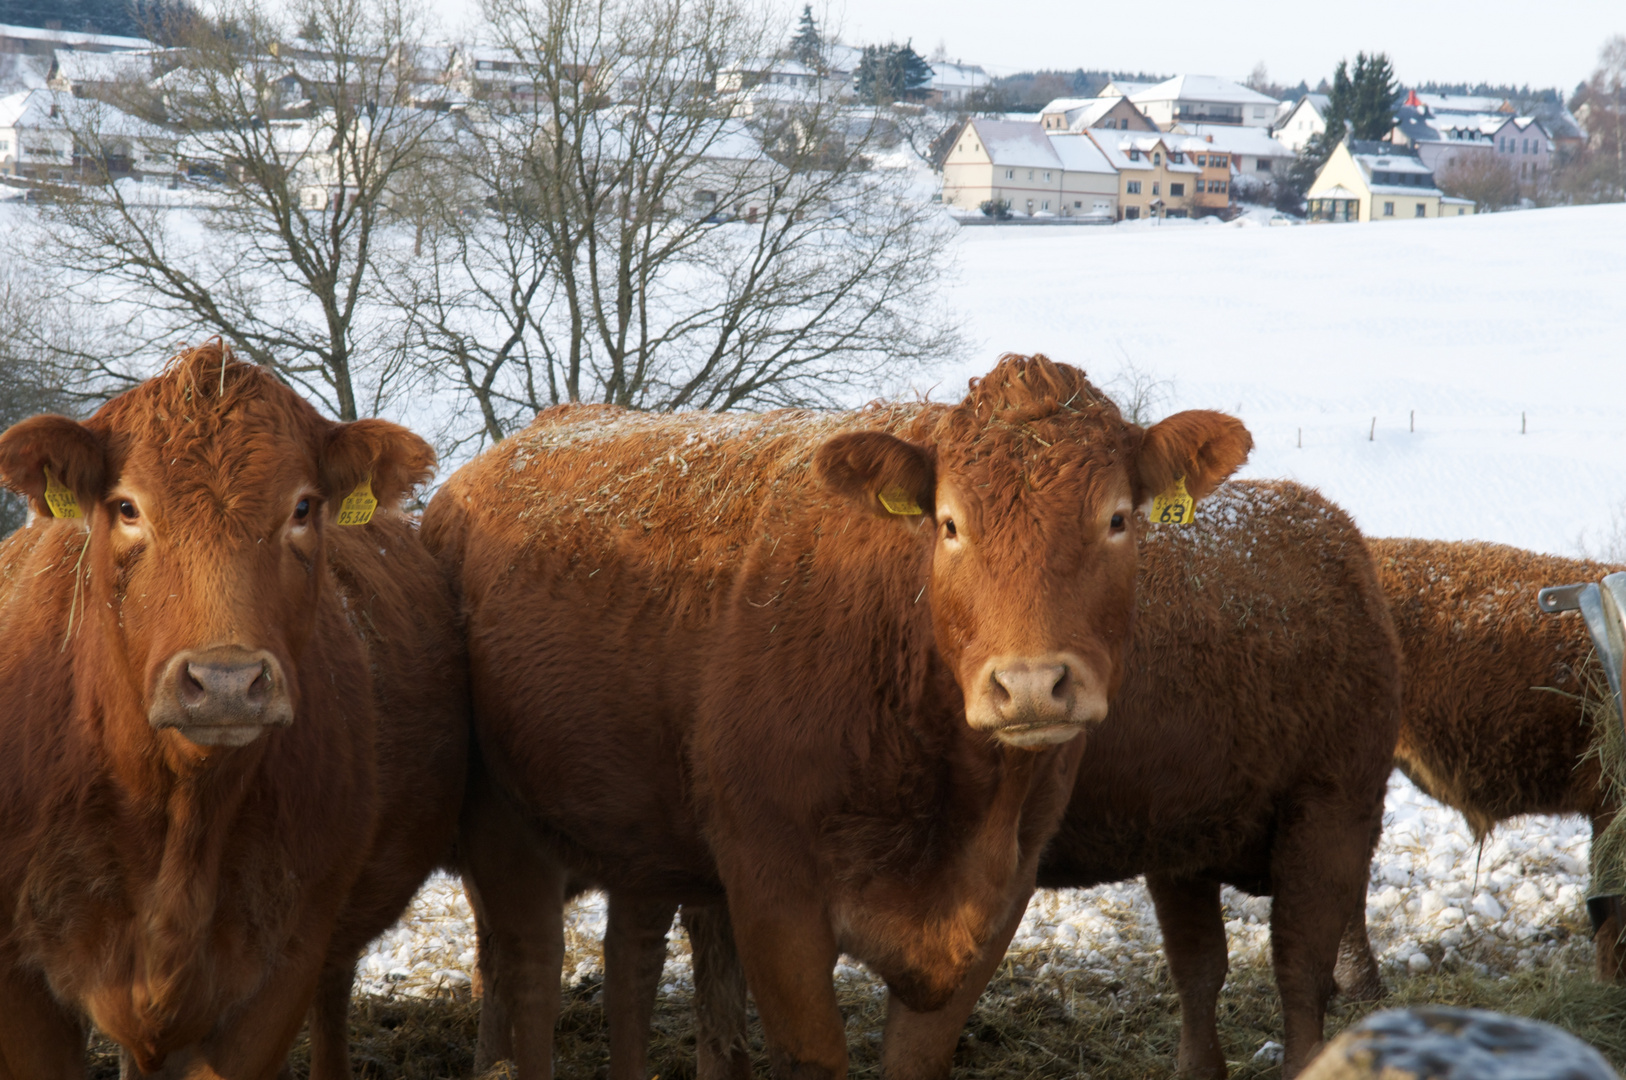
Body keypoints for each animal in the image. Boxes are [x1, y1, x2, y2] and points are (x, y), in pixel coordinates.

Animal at [426, 356, 1248, 1080]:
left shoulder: (1002, 890)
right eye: (950, 525)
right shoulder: (772, 892)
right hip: (505, 821)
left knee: (628, 956)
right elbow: (811, 1055)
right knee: (529, 969)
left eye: (1118, 519)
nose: (1031, 684)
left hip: (641, 829)